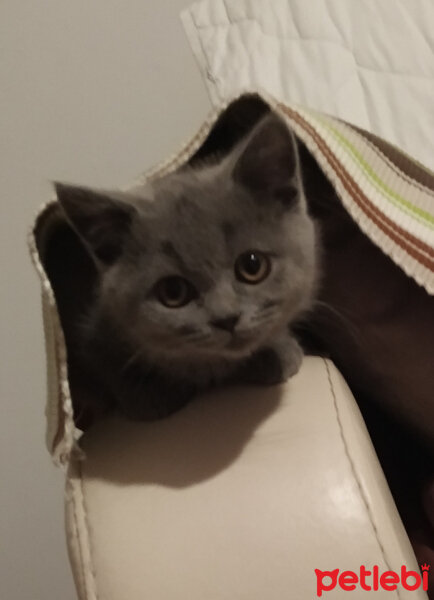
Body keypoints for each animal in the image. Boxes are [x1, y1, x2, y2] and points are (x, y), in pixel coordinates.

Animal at [56, 115, 318, 420]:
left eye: (252, 266)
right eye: (173, 292)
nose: (227, 318)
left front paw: (278, 351)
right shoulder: (88, 328)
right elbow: (105, 361)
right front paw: (149, 394)